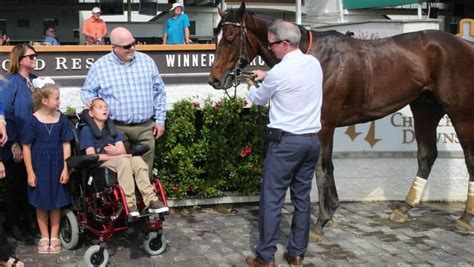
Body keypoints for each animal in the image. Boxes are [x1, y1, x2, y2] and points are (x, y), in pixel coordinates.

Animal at [209, 2, 474, 237]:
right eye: (216, 35)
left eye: (230, 37)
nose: (215, 79)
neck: (313, 58)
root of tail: (465, 44)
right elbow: (328, 166)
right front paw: (332, 212)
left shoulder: (324, 124)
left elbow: (322, 167)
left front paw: (322, 220)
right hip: (425, 107)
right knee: (427, 155)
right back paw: (404, 208)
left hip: (461, 113)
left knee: (469, 159)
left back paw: (465, 218)